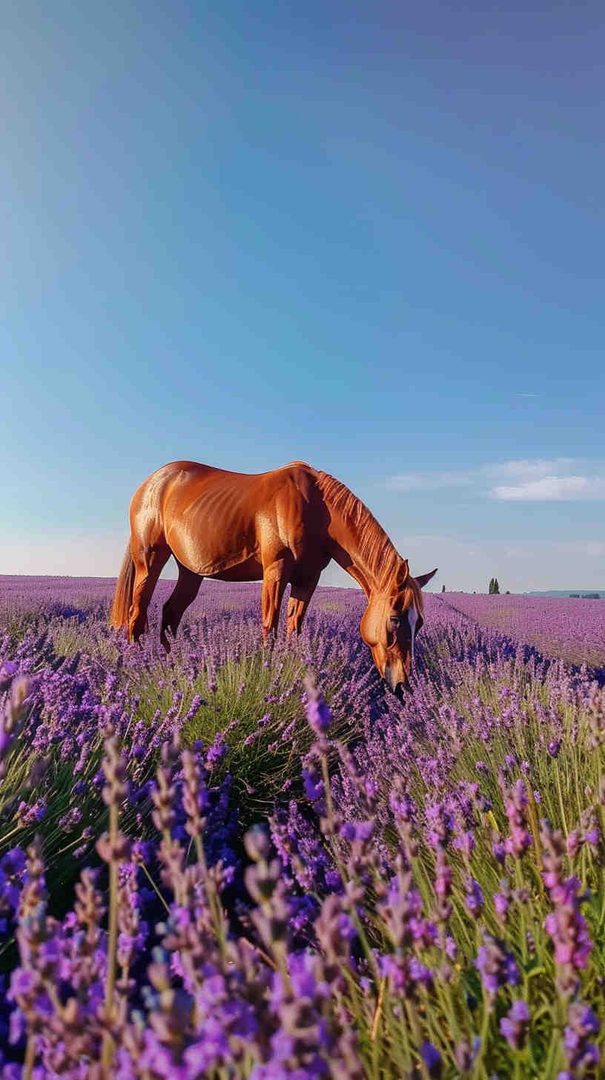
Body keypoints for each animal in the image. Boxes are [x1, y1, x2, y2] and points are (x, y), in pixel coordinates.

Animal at [110, 460, 437, 697]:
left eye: (419, 622)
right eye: (394, 619)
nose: (402, 686)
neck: (316, 506)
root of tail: (150, 484)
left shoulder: (307, 579)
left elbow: (294, 629)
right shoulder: (275, 572)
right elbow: (270, 628)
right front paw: (268, 676)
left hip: (190, 571)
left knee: (170, 614)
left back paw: (174, 667)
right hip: (150, 559)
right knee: (137, 616)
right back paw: (139, 671)